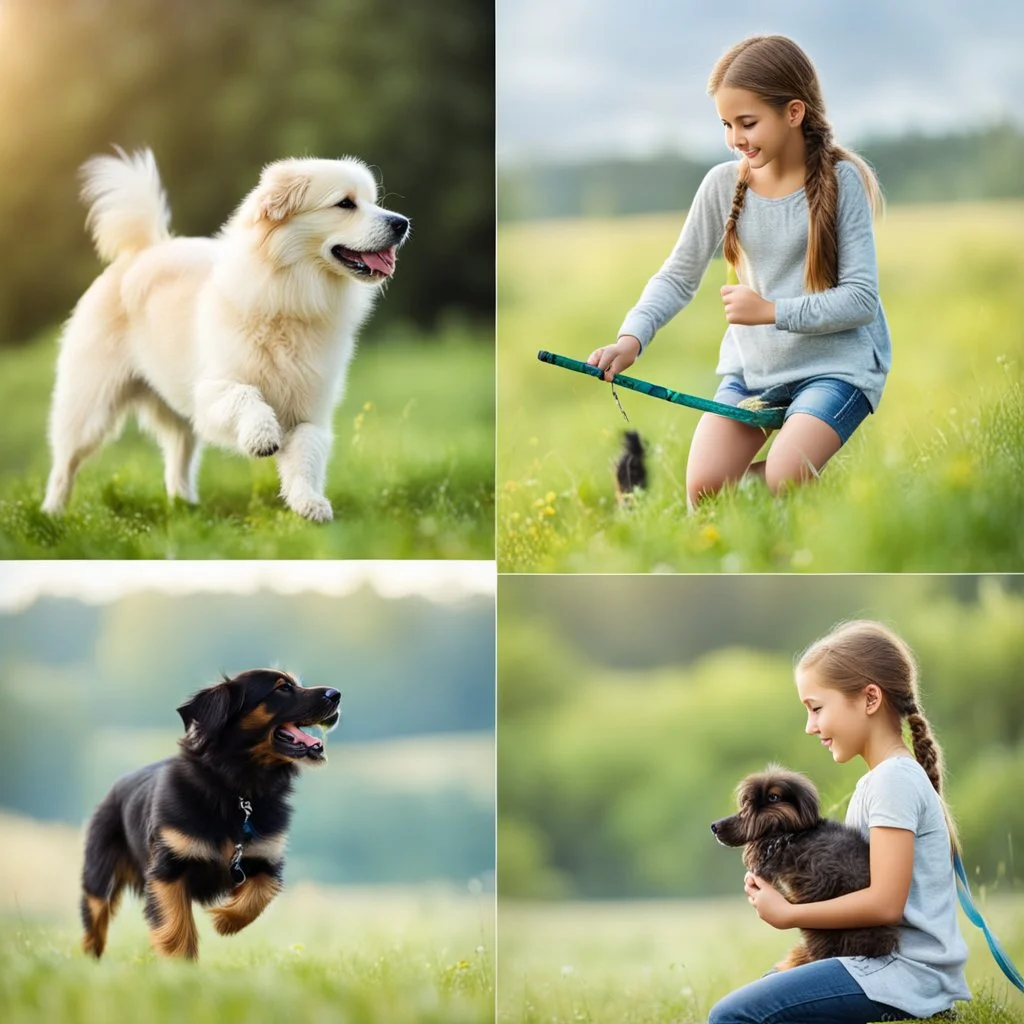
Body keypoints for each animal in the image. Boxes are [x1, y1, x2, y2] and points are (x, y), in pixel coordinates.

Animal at [40, 146, 407, 520]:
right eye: (345, 204)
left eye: (373, 201)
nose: (402, 223)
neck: (290, 300)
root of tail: (142, 252)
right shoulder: (211, 391)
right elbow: (247, 396)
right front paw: (262, 437)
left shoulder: (310, 413)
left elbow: (305, 457)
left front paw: (309, 504)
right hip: (90, 405)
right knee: (65, 462)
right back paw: (51, 513)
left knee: (179, 457)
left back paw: (185, 506)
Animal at [79, 671, 342, 958]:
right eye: (282, 688)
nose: (336, 694)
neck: (237, 791)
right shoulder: (168, 867)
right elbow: (177, 925)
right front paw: (180, 963)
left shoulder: (266, 859)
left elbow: (257, 896)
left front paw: (224, 920)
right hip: (99, 876)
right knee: (95, 922)